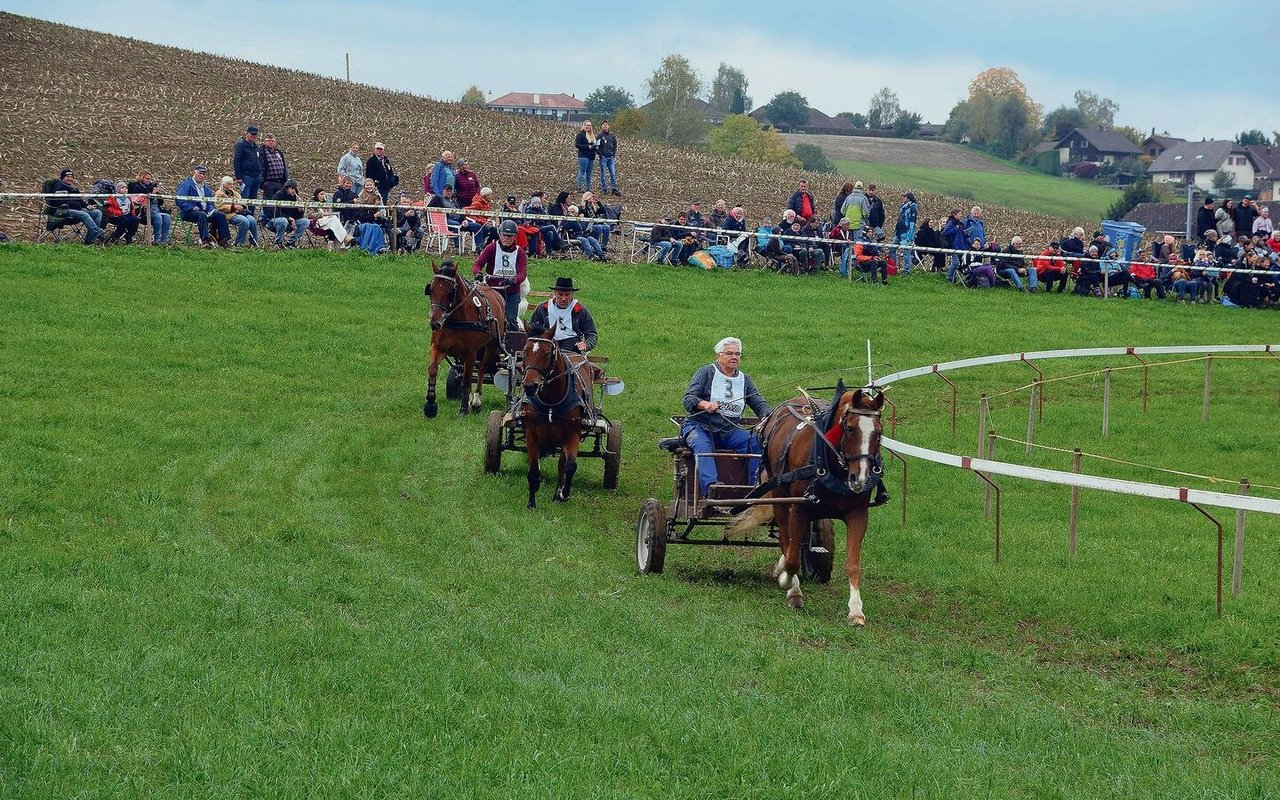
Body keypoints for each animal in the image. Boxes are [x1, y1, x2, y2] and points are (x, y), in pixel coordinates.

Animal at [424, 262, 504, 417]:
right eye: (431, 289)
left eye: (450, 292)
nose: (435, 323)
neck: (457, 318)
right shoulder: (438, 347)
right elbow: (432, 369)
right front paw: (430, 404)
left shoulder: (470, 354)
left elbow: (467, 381)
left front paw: (463, 409)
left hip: (491, 346)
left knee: (481, 369)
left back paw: (476, 401)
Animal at [517, 330, 596, 504]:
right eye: (524, 352)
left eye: (547, 353)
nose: (529, 386)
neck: (551, 403)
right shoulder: (531, 435)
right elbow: (533, 469)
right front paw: (531, 502)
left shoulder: (572, 435)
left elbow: (570, 466)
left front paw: (563, 493)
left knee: (562, 464)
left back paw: (557, 494)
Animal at [727, 384, 885, 627]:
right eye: (849, 429)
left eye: (879, 432)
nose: (860, 478)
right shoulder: (799, 508)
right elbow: (792, 559)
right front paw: (790, 587)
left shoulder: (858, 514)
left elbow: (853, 563)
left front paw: (856, 610)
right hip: (781, 497)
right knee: (786, 538)